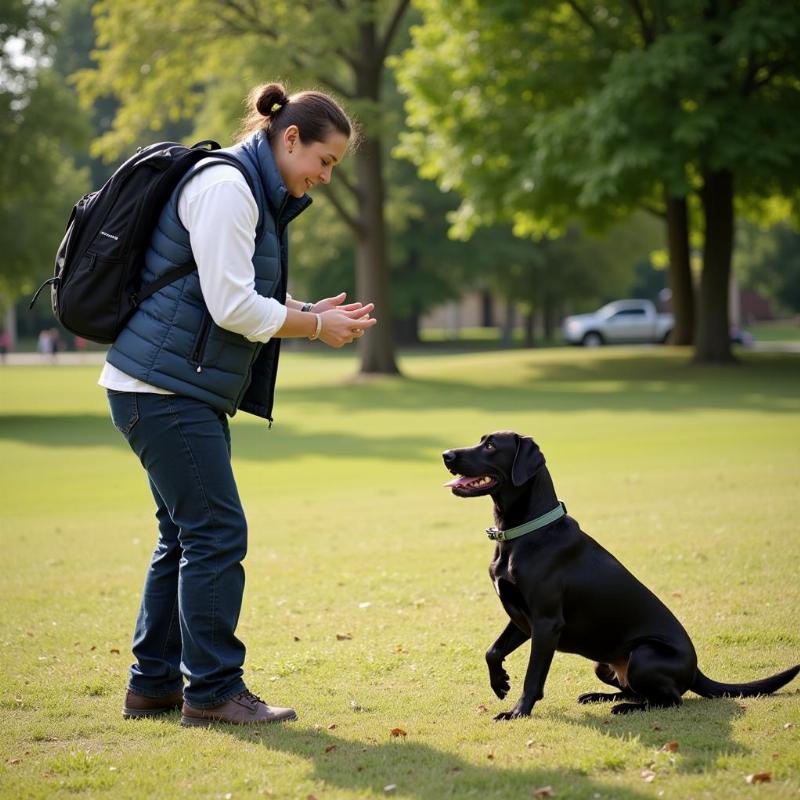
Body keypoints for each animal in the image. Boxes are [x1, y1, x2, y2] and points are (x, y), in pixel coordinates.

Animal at [440, 432, 796, 720]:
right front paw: (500, 683)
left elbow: (533, 677)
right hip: (603, 664)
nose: (446, 455)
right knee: (635, 691)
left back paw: (624, 709)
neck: (523, 534)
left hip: (643, 655)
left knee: (668, 700)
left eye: (490, 446)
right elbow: (492, 651)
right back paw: (599, 697)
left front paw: (517, 712)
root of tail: (696, 670)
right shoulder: (521, 618)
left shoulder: (545, 621)